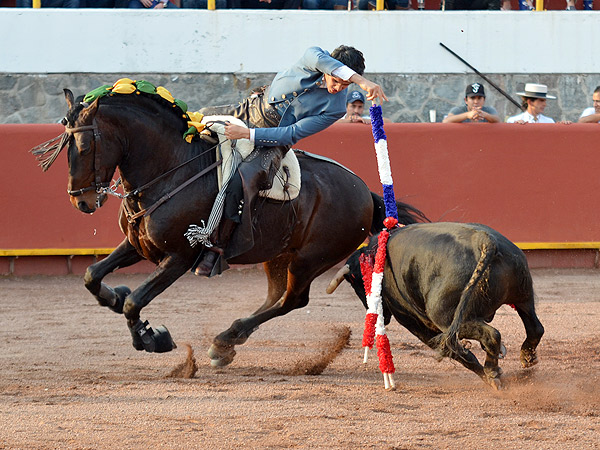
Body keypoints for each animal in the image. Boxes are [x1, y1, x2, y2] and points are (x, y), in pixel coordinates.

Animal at [36, 89, 422, 370]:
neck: (172, 168)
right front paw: (114, 297)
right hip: (278, 255)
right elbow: (92, 276)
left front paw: (151, 338)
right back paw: (229, 342)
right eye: (64, 143)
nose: (82, 201)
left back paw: (225, 340)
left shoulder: (180, 256)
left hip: (310, 259)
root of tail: (366, 193)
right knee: (276, 297)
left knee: (292, 299)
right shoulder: (137, 244)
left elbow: (135, 301)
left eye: (85, 145)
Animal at [328, 221, 544, 386]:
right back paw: (526, 357)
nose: (384, 317)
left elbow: (455, 352)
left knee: (491, 335)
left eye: (357, 282)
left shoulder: (413, 321)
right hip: (523, 293)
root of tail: (485, 241)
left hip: (444, 317)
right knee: (535, 327)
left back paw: (492, 373)